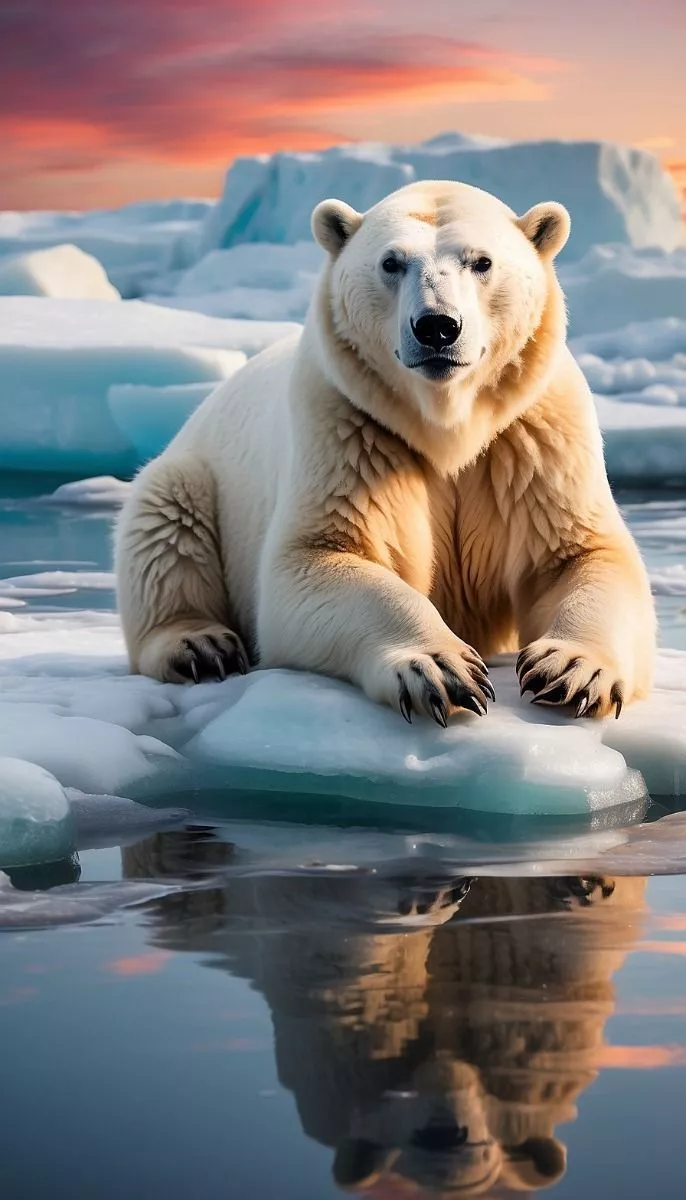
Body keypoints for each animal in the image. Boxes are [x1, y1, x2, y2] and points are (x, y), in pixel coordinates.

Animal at [116, 179, 655, 721]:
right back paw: (200, 646)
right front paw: (440, 668)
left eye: (482, 261)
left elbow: (581, 554)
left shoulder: (534, 437)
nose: (437, 326)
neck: (446, 425)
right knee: (166, 521)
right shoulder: (349, 426)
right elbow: (319, 556)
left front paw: (572, 670)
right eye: (391, 262)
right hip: (193, 474)